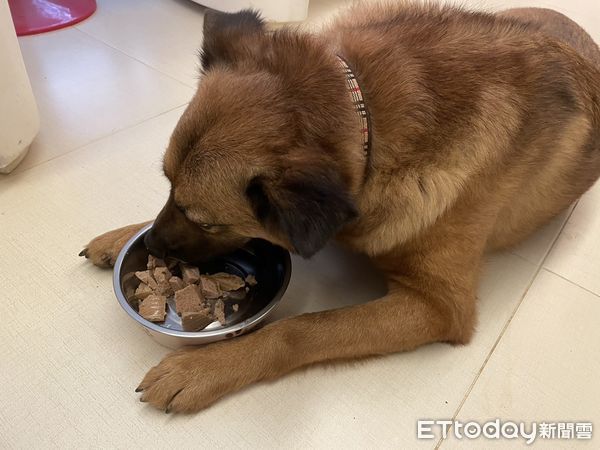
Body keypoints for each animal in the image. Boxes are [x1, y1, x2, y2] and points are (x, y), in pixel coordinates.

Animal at [81, 2, 600, 414]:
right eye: (167, 186)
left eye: (205, 221)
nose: (150, 245)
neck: (364, 114)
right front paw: (121, 237)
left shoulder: (437, 305)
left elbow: (300, 330)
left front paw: (207, 367)